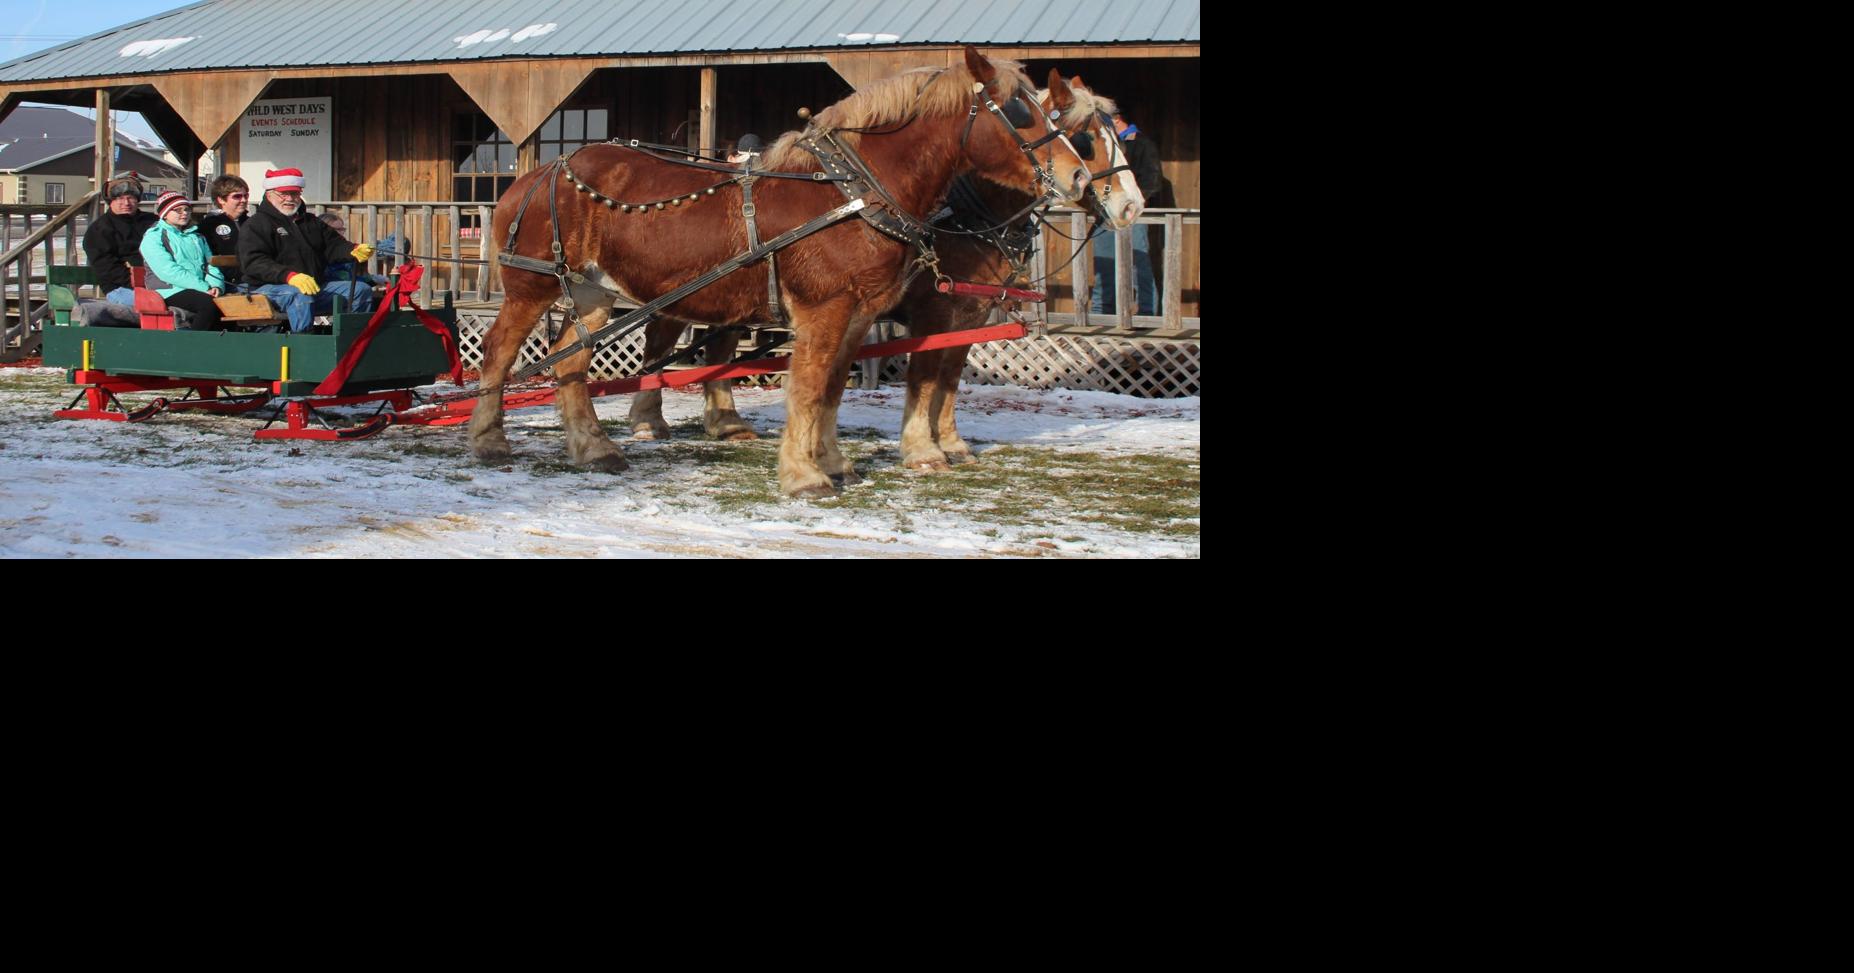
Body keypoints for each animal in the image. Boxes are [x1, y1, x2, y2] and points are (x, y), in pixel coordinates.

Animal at [472, 46, 1092, 497]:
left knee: (569, 362)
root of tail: (539, 173)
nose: (1080, 179)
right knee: (500, 349)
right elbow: (809, 385)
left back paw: (595, 449)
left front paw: (834, 463)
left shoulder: (860, 313)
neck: (853, 193)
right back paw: (489, 439)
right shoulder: (826, 307)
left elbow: (834, 387)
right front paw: (804, 475)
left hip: (592, 293)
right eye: (1018, 111)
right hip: (533, 285)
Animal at [889, 77, 1147, 470]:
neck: (966, 219)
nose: (1133, 206)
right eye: (1085, 141)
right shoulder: (933, 315)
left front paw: (950, 443)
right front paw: (922, 450)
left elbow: (950, 377)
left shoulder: (971, 316)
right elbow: (925, 376)